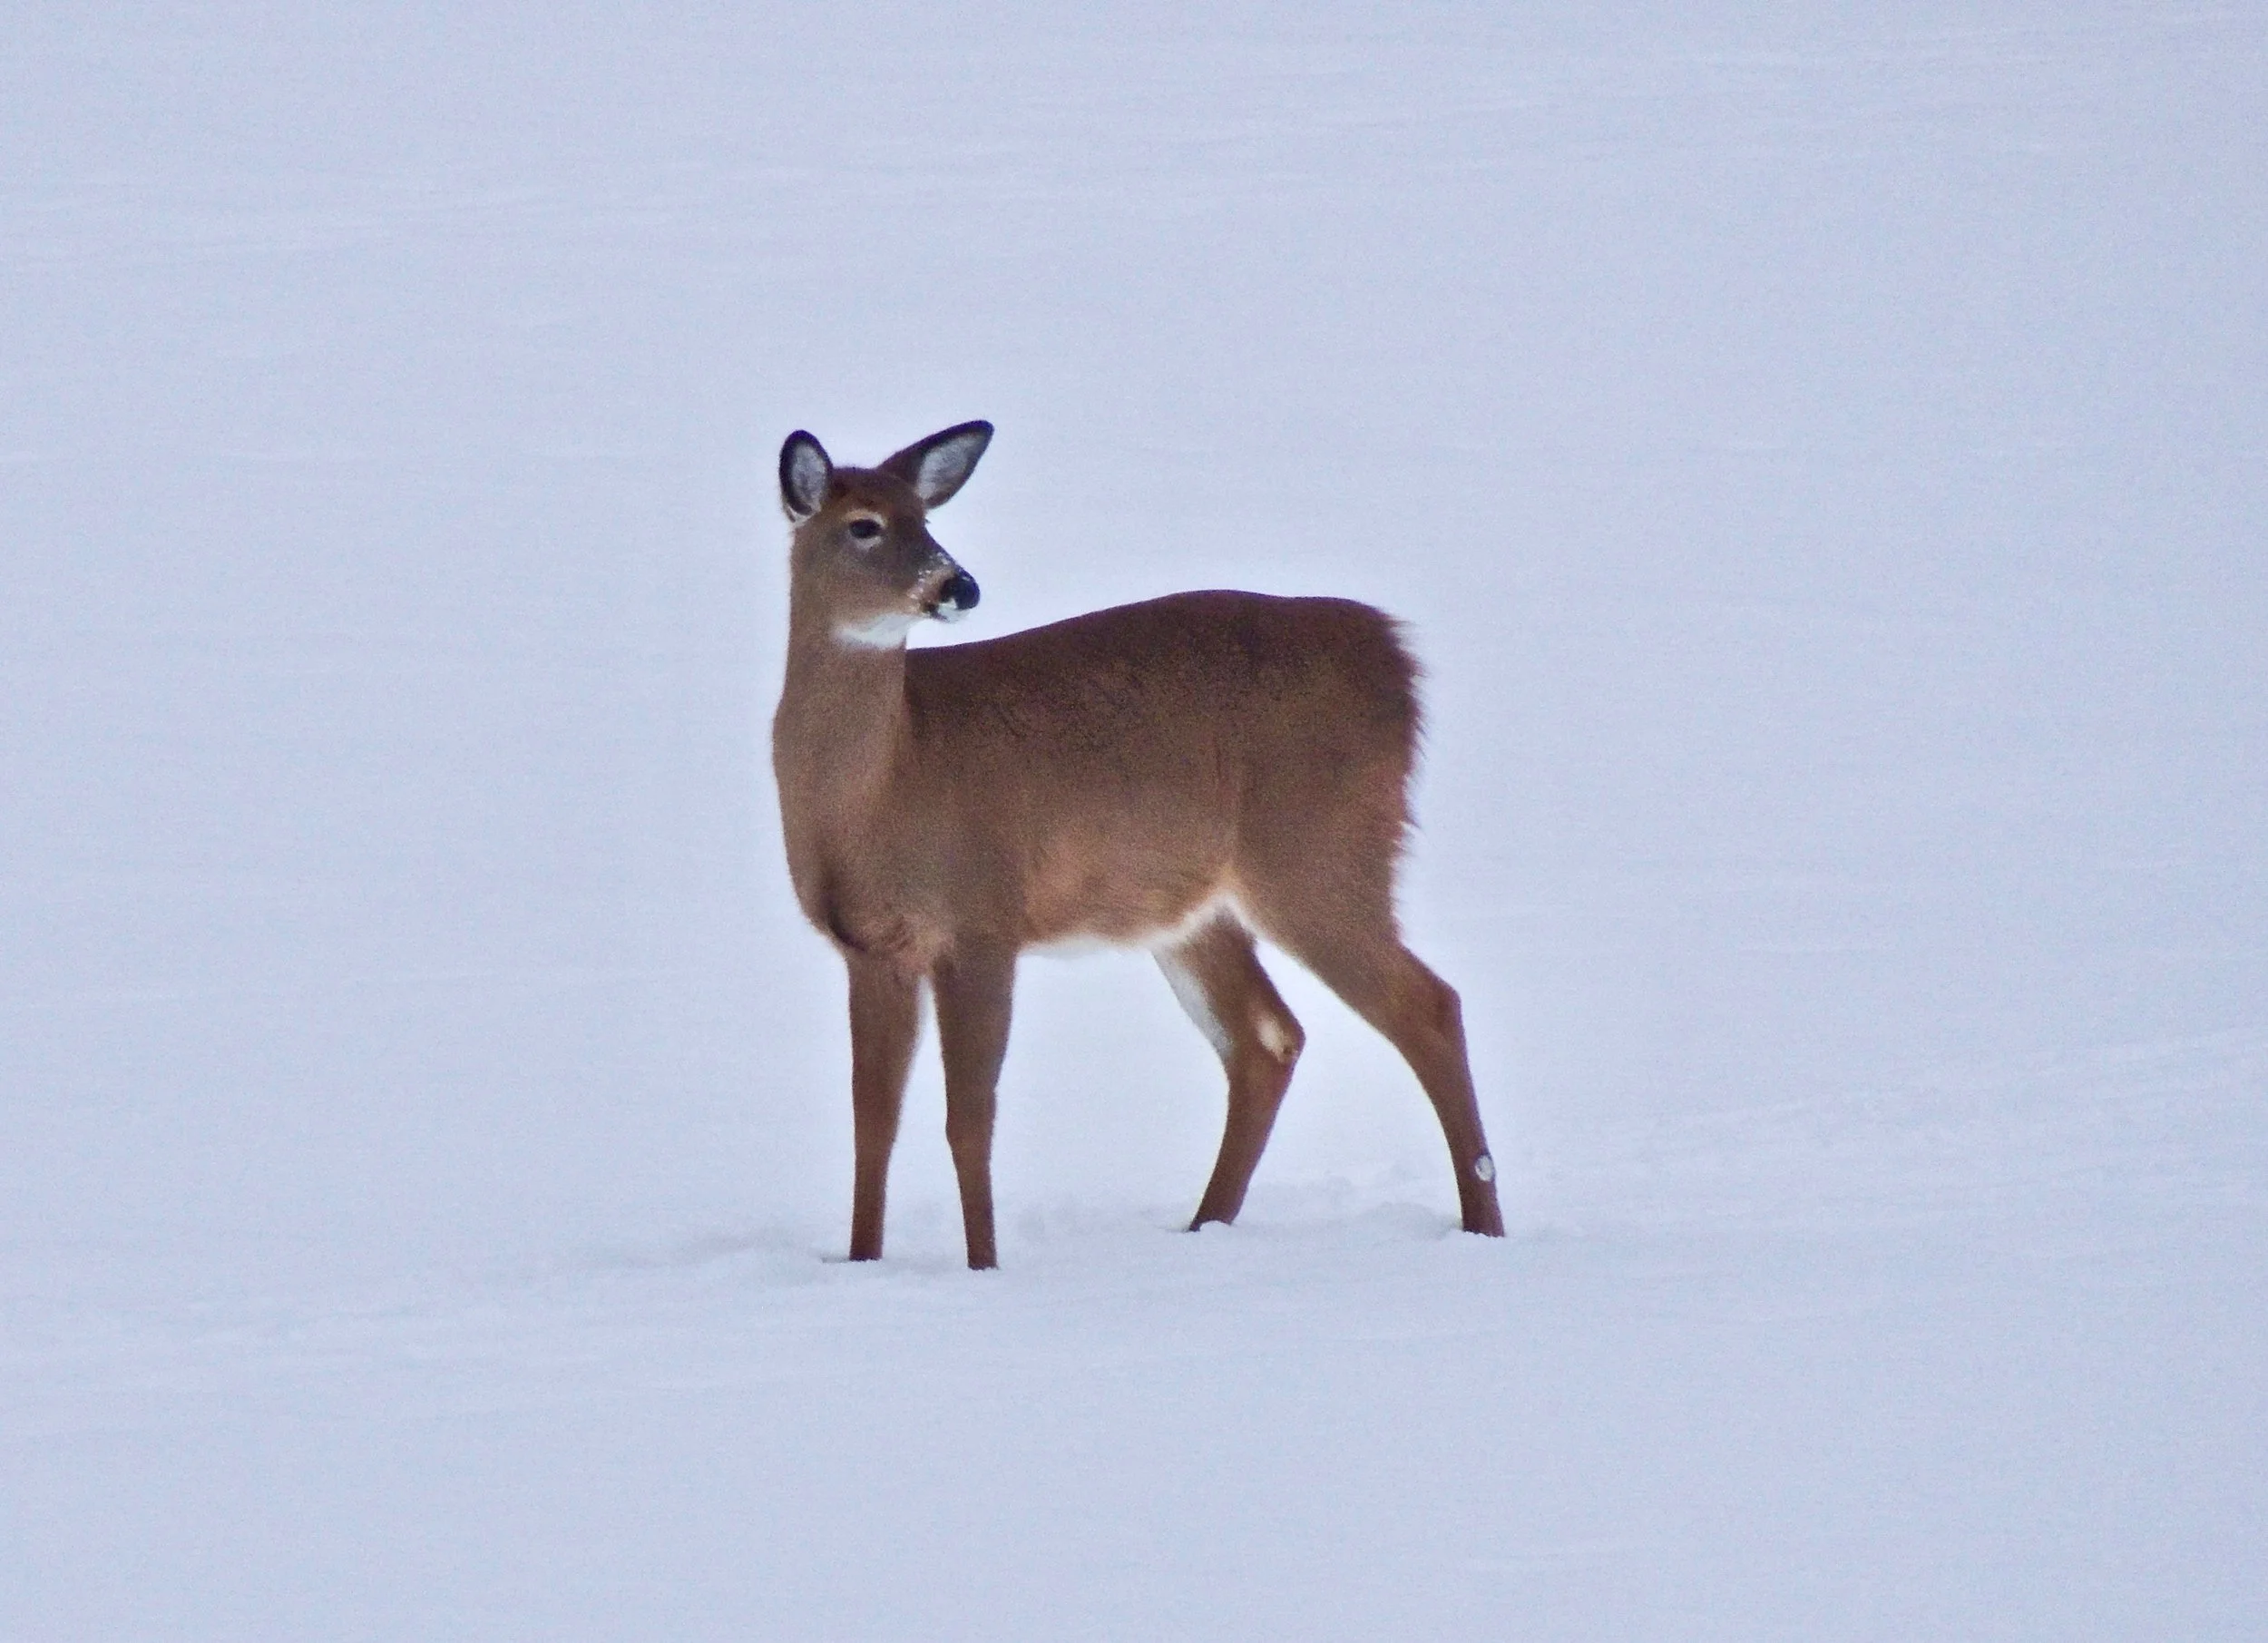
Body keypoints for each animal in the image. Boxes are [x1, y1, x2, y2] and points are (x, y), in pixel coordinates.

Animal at [771, 420, 1506, 1269]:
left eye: (925, 518)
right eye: (864, 525)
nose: (959, 585)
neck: (885, 781)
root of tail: (1397, 659)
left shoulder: (982, 917)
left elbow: (970, 1120)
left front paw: (983, 1267)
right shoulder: (869, 947)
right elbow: (872, 1123)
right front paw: (861, 1262)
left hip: (1320, 851)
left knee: (1430, 1004)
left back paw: (1484, 1228)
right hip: (1195, 907)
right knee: (1269, 1037)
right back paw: (1204, 1227)